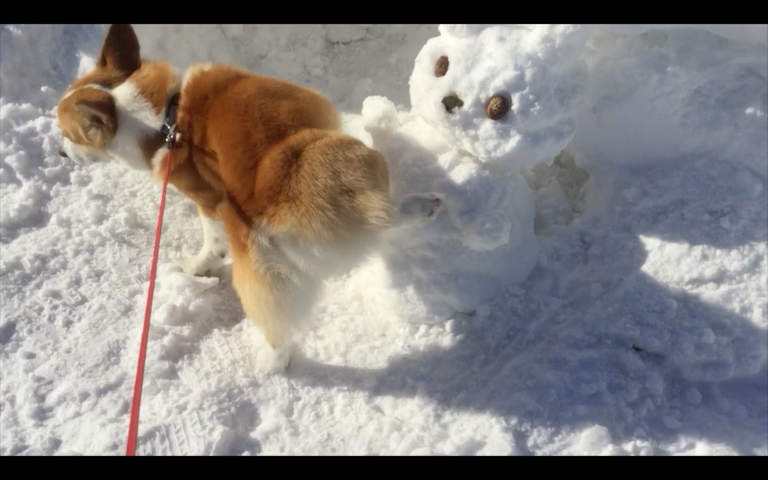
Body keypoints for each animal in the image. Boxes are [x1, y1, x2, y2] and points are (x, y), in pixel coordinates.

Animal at [57, 24, 440, 374]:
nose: (60, 154)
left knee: (276, 325)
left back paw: (269, 365)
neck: (162, 116)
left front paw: (199, 265)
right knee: (388, 215)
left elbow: (211, 242)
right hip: (354, 163)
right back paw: (422, 207)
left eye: (69, 135)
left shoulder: (205, 198)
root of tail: (289, 200)